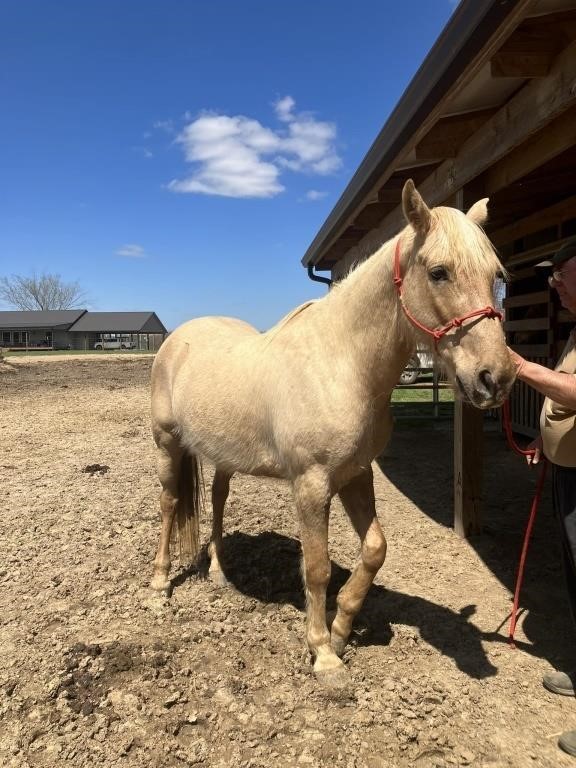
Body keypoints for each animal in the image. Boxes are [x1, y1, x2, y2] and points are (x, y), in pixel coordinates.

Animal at [151, 180, 516, 684]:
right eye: (439, 272)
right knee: (169, 504)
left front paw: (342, 628)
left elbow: (376, 549)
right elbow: (318, 568)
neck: (343, 364)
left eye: (497, 275)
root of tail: (177, 339)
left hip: (225, 454)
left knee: (219, 500)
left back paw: (221, 574)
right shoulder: (311, 484)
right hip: (167, 442)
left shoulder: (356, 474)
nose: (495, 378)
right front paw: (323, 653)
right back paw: (159, 583)